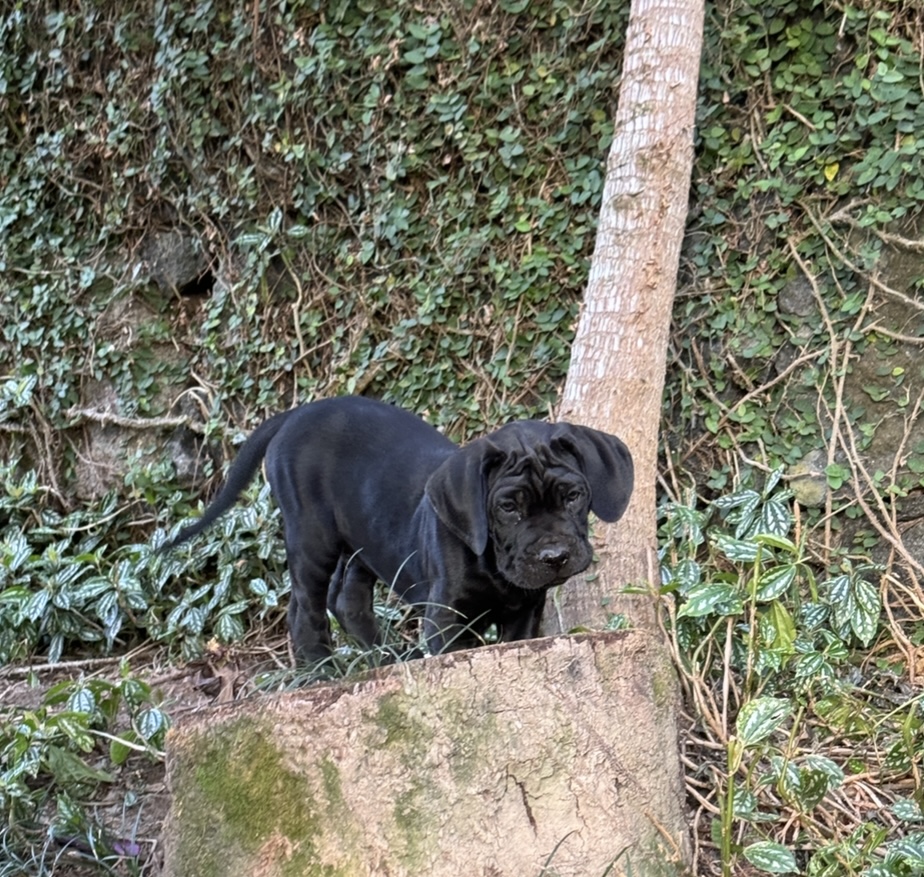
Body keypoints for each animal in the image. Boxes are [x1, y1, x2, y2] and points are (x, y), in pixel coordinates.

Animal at [162, 394, 632, 660]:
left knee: (346, 597)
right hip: (312, 533)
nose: (555, 556)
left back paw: (384, 654)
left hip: (361, 536)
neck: (494, 568)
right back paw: (320, 668)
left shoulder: (524, 614)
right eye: (508, 507)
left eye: (573, 496)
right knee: (304, 606)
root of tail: (296, 413)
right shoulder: (445, 619)